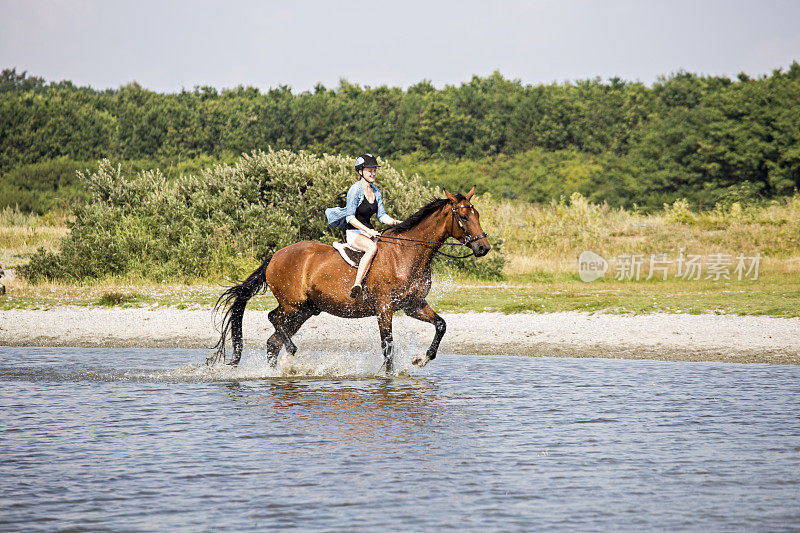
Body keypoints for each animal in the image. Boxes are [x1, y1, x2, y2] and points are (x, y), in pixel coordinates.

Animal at [209, 185, 490, 372]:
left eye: (477, 215)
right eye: (463, 217)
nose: (483, 248)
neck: (407, 253)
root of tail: (276, 255)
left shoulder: (413, 305)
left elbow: (441, 325)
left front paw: (421, 358)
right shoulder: (384, 307)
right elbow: (388, 346)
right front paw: (389, 377)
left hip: (306, 310)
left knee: (273, 341)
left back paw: (280, 370)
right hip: (292, 304)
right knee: (273, 320)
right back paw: (291, 353)